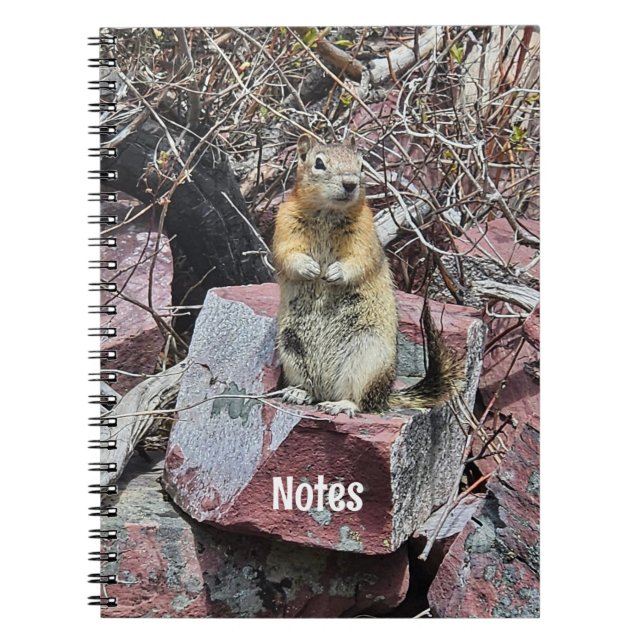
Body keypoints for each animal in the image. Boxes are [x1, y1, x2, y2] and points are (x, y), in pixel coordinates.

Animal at [272, 134, 462, 417]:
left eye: (361, 165)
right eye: (319, 163)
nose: (350, 184)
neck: (327, 212)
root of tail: (385, 397)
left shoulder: (365, 232)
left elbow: (359, 260)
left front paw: (334, 271)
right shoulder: (284, 223)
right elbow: (287, 255)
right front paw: (311, 268)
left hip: (367, 358)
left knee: (362, 402)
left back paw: (341, 405)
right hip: (290, 348)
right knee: (312, 388)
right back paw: (299, 393)